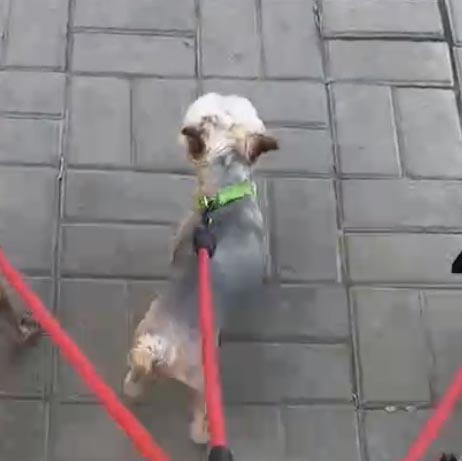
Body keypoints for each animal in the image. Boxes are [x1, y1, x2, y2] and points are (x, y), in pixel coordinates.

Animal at [123, 93, 278, 444]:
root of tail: (162, 347)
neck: (223, 195)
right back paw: (204, 434)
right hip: (203, 382)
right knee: (199, 414)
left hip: (141, 344)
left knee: (133, 380)